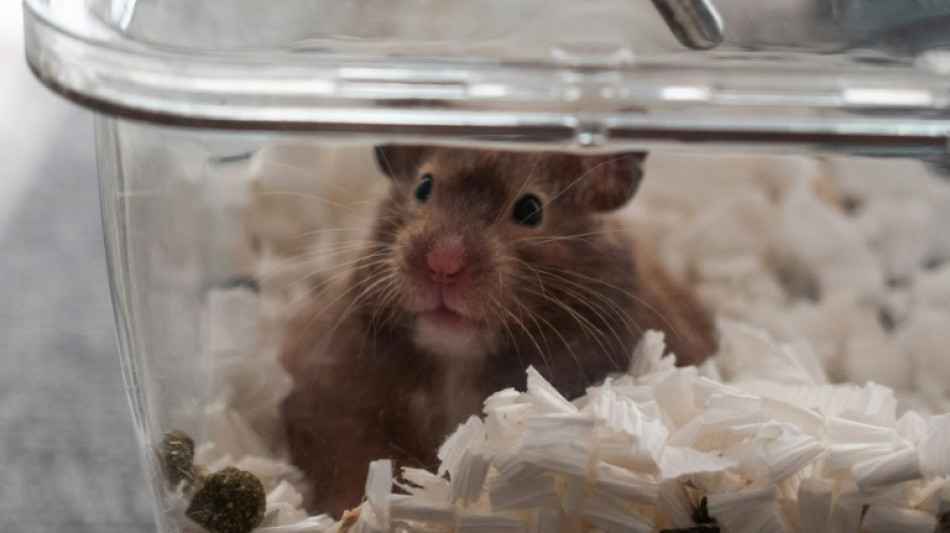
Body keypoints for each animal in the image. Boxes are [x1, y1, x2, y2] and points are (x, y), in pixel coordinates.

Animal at [279, 146, 718, 515]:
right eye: (423, 187)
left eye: (530, 209)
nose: (442, 265)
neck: (456, 358)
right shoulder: (333, 402)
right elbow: (356, 464)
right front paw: (357, 511)